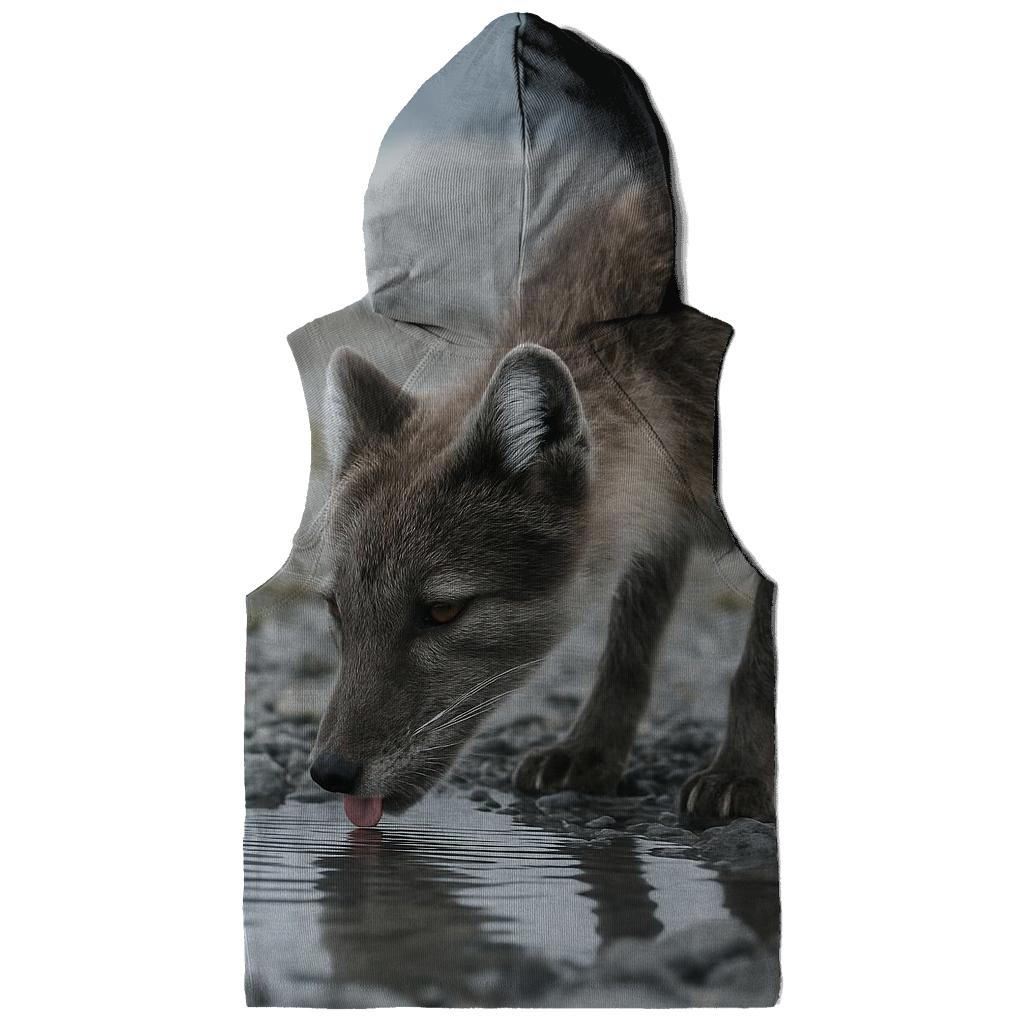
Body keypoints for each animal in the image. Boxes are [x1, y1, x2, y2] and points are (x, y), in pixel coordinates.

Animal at [307, 307, 777, 829]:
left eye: (444, 611)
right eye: (336, 607)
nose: (330, 773)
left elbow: (759, 666)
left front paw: (741, 774)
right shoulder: (654, 527)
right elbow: (626, 648)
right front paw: (590, 752)